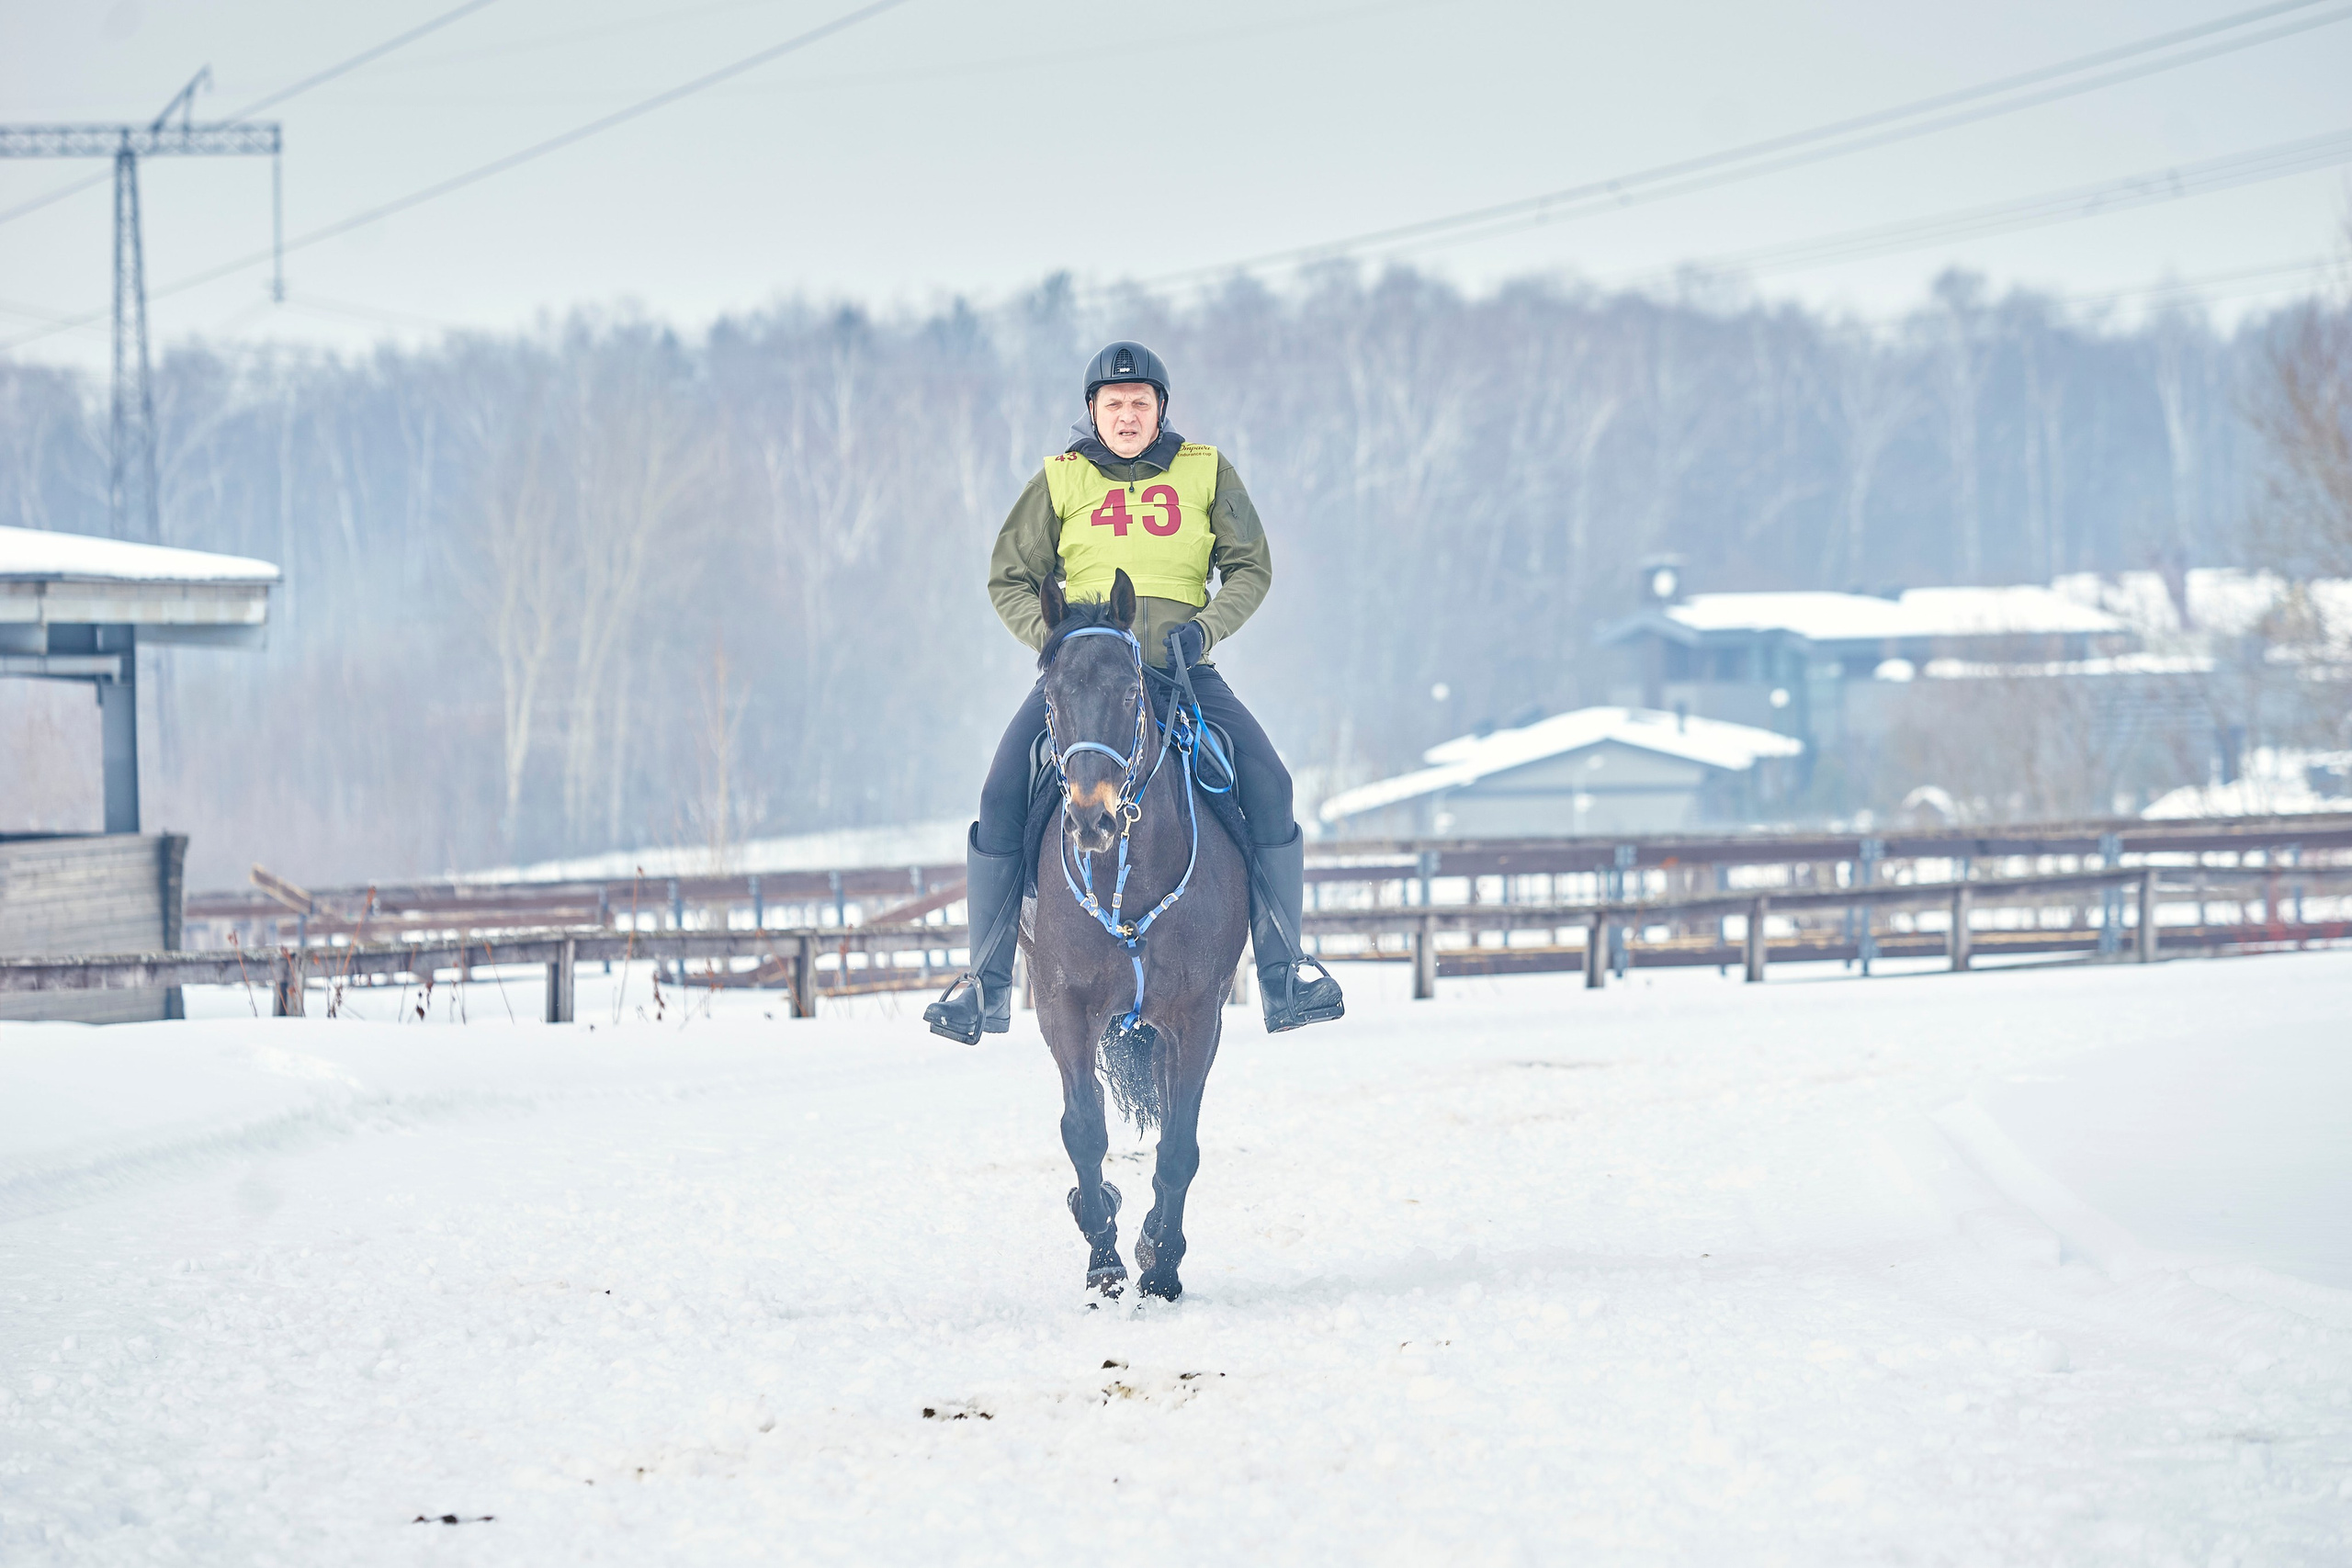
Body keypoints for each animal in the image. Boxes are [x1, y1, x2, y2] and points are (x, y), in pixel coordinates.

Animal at [1023, 568, 1248, 1302]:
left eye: (1129, 692)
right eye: (1052, 697)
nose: (1091, 819)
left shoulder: (1198, 1014)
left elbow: (1179, 1144)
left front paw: (1161, 1263)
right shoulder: (1063, 1007)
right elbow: (1084, 1131)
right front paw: (1105, 1260)